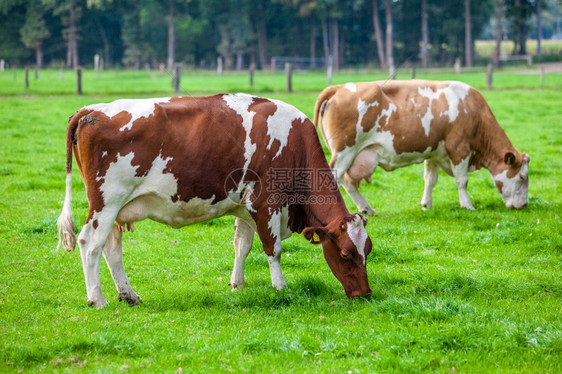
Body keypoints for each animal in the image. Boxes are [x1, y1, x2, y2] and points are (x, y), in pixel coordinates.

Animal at [57, 93, 372, 306]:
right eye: (346, 254)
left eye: (367, 250)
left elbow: (242, 246)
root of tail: (91, 110)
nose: (366, 294)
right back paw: (97, 299)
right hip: (106, 203)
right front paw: (280, 287)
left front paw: (237, 284)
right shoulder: (266, 202)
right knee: (90, 244)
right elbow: (273, 249)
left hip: (117, 209)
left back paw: (129, 295)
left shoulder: (244, 206)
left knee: (111, 249)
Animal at [312, 80, 528, 215]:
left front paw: (426, 204)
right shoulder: (459, 149)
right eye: (522, 177)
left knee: (348, 182)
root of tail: (339, 88)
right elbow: (462, 181)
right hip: (345, 151)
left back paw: (366, 208)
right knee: (334, 180)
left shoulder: (434, 152)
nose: (524, 205)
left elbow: (430, 180)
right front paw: (467, 205)